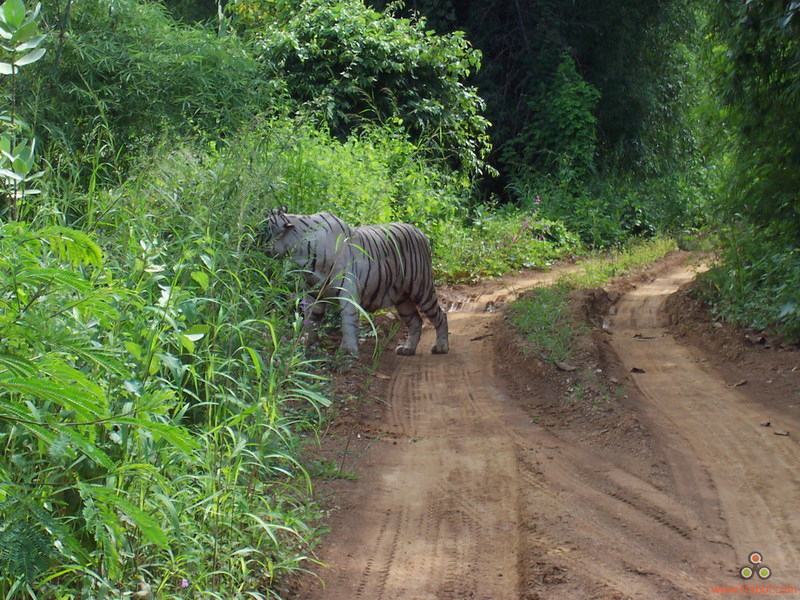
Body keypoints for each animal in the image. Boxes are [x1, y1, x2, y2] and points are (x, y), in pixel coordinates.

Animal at [259, 208, 449, 357]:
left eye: (264, 229)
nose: (255, 243)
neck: (301, 253)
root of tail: (420, 232)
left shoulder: (347, 292)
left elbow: (348, 321)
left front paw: (348, 351)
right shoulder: (313, 294)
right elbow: (311, 322)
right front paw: (307, 349)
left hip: (421, 288)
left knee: (440, 315)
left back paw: (441, 346)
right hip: (402, 298)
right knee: (416, 321)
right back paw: (408, 349)